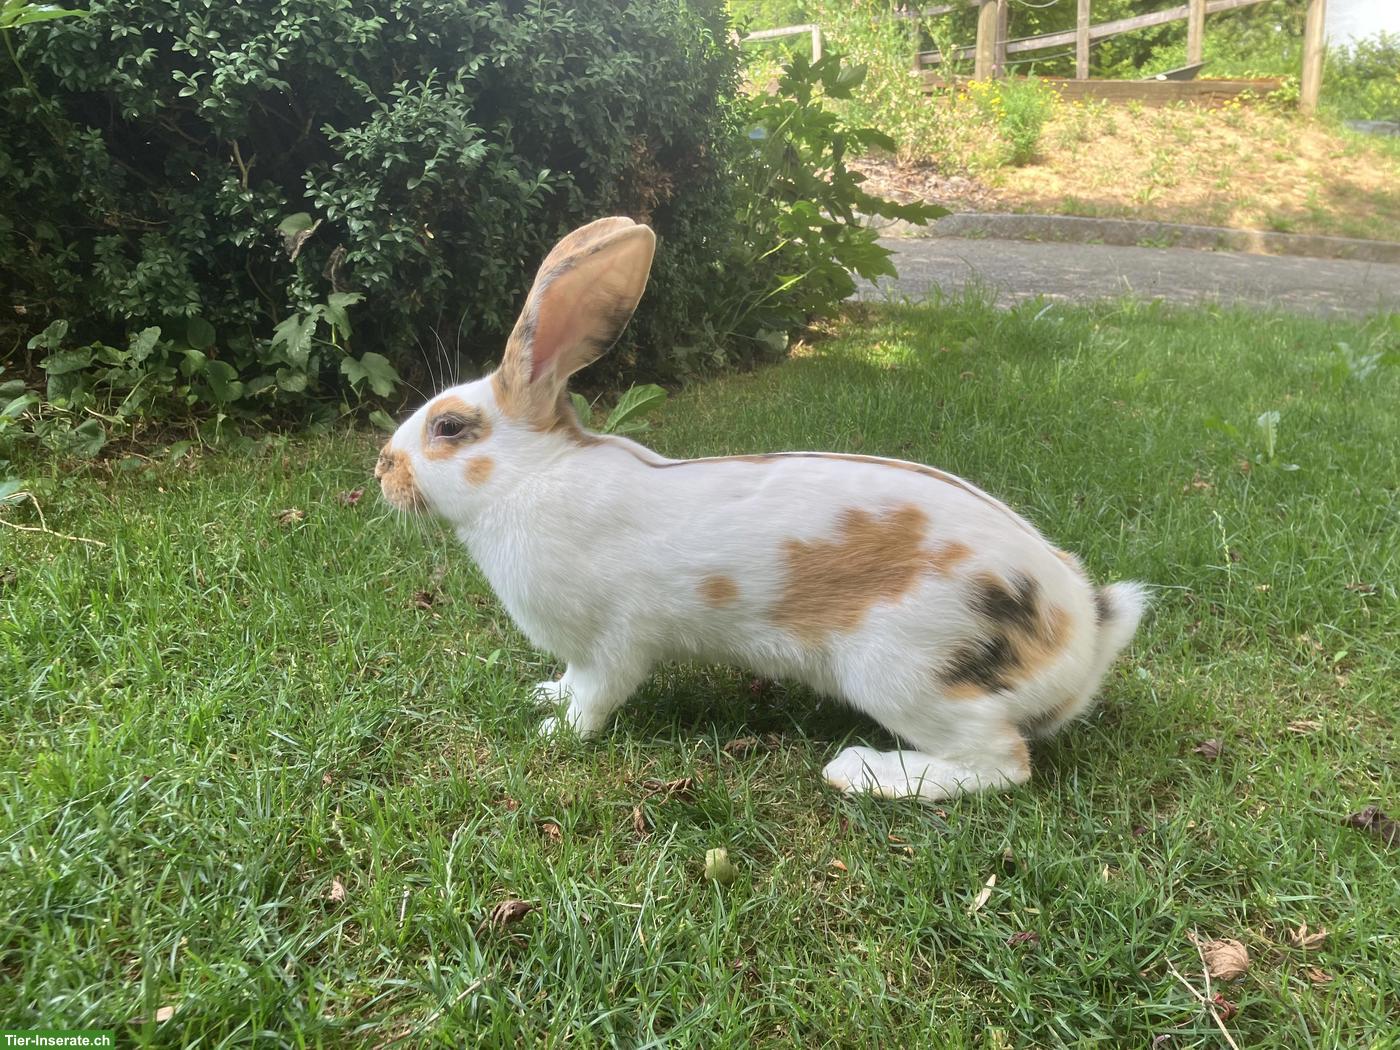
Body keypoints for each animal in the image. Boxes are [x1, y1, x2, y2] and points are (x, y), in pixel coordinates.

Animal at [375, 216, 1147, 802]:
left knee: (1001, 762)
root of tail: (1081, 634)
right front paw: (544, 697)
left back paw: (860, 773)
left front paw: (554, 734)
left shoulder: (613, 644)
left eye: (449, 427)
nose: (383, 467)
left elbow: (595, 696)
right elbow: (568, 683)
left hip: (905, 674)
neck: (531, 476)